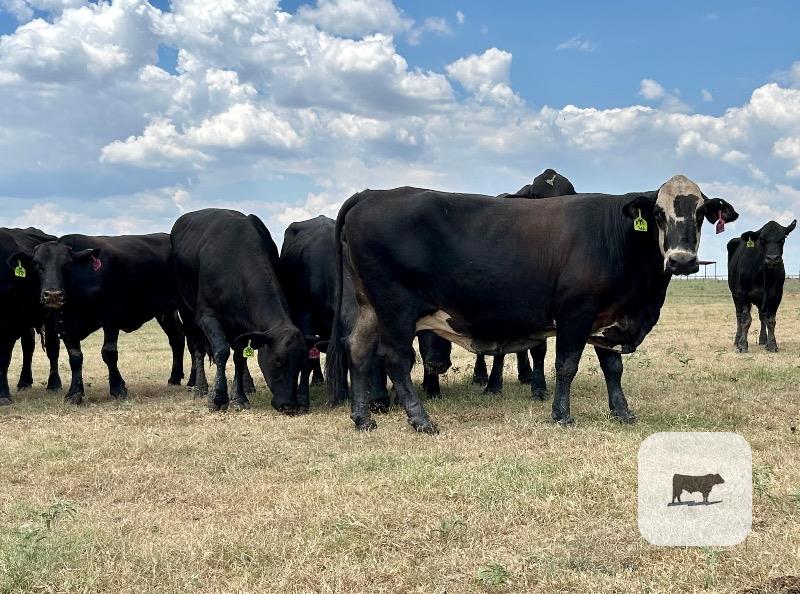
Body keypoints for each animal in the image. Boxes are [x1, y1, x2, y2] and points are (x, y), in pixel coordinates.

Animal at [0, 227, 62, 403]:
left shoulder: (8, 324)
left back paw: (54, 384)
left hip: (50, 315)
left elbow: (3, 357)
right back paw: (24, 381)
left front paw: (3, 395)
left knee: (53, 347)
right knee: (28, 346)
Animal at [30, 234, 190, 405]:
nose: (53, 295)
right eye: (37, 263)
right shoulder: (66, 326)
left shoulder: (110, 318)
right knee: (177, 338)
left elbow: (109, 352)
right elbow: (75, 358)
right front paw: (74, 393)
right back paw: (174, 378)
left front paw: (118, 388)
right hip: (166, 312)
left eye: (67, 264)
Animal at [171, 208, 306, 413]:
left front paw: (239, 397)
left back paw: (247, 384)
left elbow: (240, 357)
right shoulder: (207, 316)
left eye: (300, 364)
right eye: (277, 361)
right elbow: (221, 351)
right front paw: (218, 398)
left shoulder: (244, 327)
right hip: (186, 311)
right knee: (197, 347)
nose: (289, 406)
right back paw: (200, 387)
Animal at [327, 175, 737, 433]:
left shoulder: (609, 318)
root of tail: (372, 194)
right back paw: (420, 420)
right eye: (657, 214)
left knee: (359, 351)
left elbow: (613, 368)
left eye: (701, 214)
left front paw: (622, 412)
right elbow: (566, 365)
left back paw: (362, 419)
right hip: (395, 308)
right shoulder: (576, 313)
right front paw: (562, 415)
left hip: (368, 306)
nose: (682, 260)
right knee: (396, 359)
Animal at [728, 220, 796, 353]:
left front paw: (772, 344)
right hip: (735, 295)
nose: (772, 258)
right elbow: (745, 319)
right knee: (739, 316)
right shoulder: (742, 293)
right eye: (762, 240)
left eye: (782, 239)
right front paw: (742, 345)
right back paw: (737, 340)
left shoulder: (777, 294)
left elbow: (770, 320)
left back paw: (763, 340)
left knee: (762, 316)